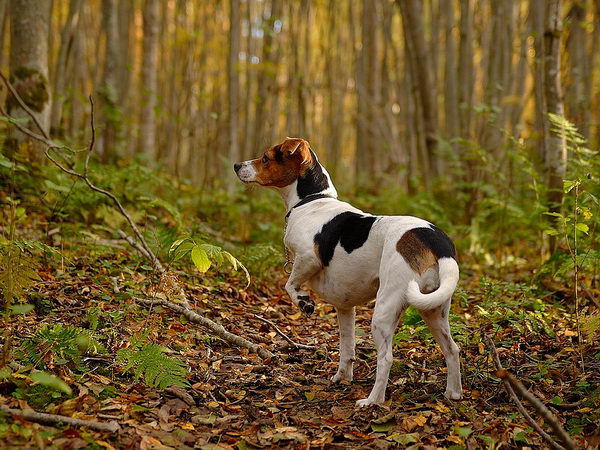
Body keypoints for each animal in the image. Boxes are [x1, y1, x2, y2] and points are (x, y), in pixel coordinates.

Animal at [234, 137, 464, 404]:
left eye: (266, 158)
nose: (236, 165)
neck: (312, 200)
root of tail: (436, 241)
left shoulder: (307, 259)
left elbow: (290, 285)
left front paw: (303, 302)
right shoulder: (345, 307)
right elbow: (347, 347)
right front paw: (342, 377)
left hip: (386, 308)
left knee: (386, 358)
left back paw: (373, 400)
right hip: (434, 311)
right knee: (452, 349)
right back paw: (453, 393)